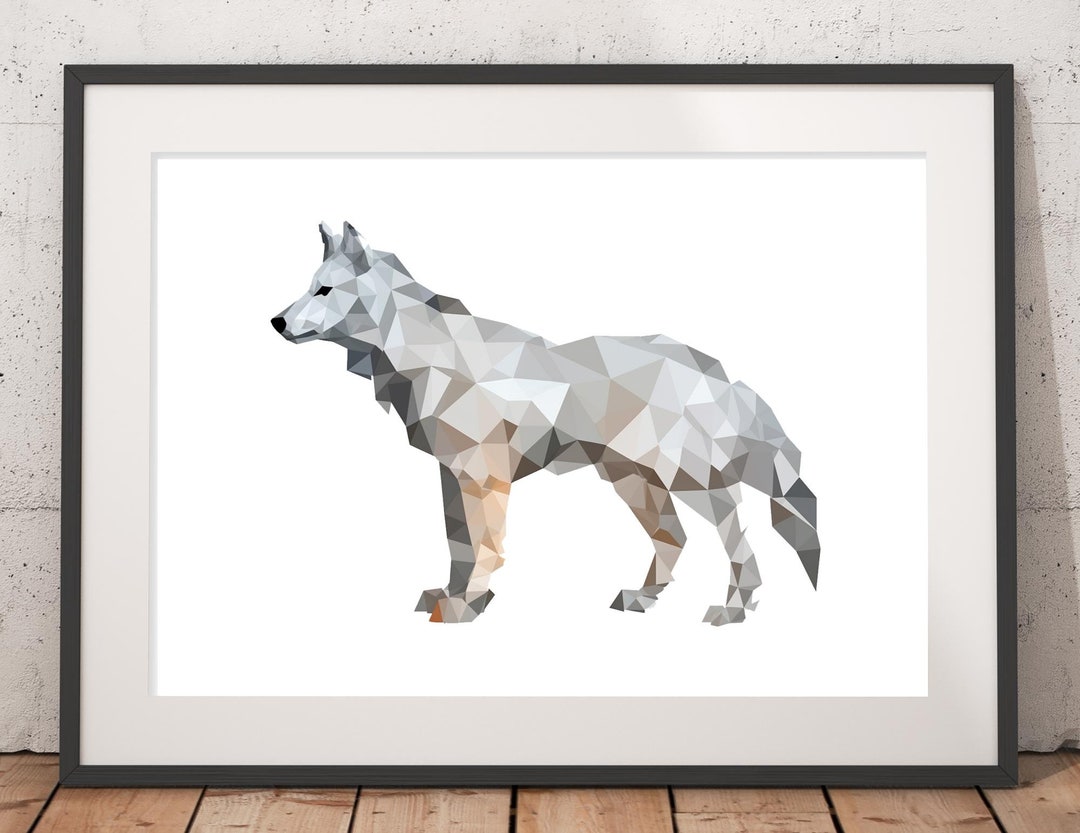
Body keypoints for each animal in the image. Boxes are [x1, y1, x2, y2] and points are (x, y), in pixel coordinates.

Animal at [272, 222, 820, 626]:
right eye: (307, 288)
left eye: (324, 290)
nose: (275, 322)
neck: (421, 354)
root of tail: (716, 370)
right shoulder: (451, 476)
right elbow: (458, 549)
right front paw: (449, 595)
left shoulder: (482, 478)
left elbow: (484, 550)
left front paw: (467, 606)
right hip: (635, 484)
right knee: (676, 539)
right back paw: (643, 599)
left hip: (693, 485)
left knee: (739, 542)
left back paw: (734, 610)